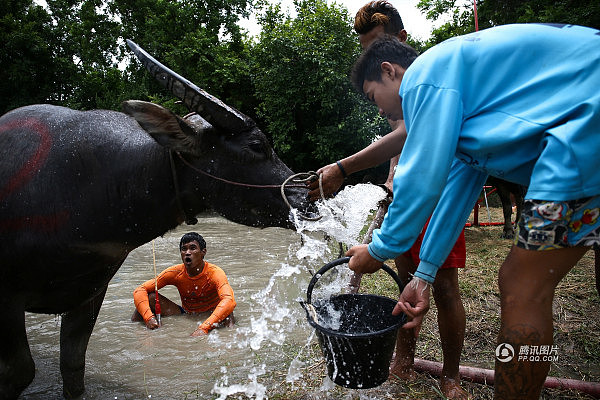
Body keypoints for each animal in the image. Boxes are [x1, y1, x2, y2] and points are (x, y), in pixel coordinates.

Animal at [0, 39, 310, 396]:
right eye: (258, 145)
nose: (306, 194)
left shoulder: (91, 292)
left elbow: (74, 367)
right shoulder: (7, 299)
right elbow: (20, 371)